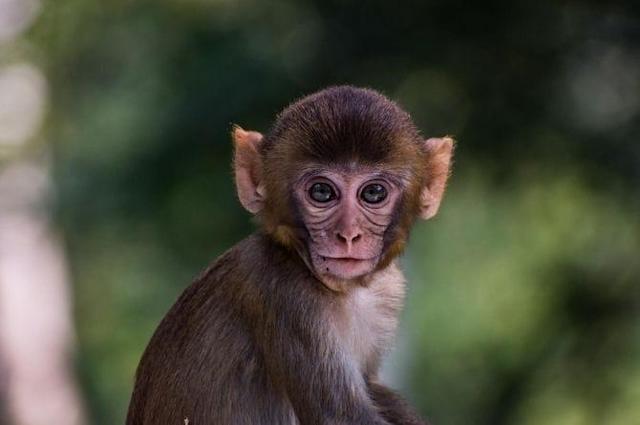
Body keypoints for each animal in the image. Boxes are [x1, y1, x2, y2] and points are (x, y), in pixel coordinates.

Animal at [126, 86, 454, 425]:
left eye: (373, 193)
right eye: (322, 192)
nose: (349, 235)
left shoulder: (388, 290)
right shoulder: (284, 293)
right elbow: (340, 416)